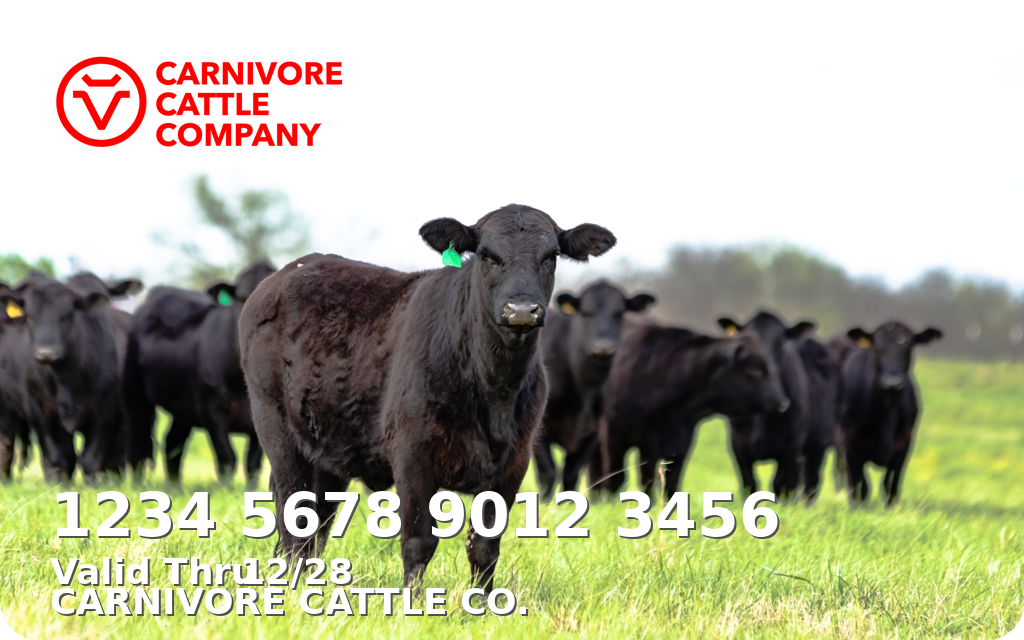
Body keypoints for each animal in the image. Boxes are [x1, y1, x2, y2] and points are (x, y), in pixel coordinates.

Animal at [123, 260, 275, 486]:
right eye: (242, 298)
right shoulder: (211, 411)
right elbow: (227, 458)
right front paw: (226, 489)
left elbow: (253, 463)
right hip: (135, 397)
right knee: (138, 445)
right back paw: (138, 485)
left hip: (183, 409)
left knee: (172, 443)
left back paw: (175, 486)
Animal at [238, 204, 616, 590]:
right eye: (486, 254)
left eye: (551, 255)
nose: (522, 310)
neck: (493, 388)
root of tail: (286, 273)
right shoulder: (412, 456)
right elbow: (419, 542)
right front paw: (415, 601)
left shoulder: (514, 463)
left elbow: (485, 549)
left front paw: (481, 601)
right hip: (276, 430)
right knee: (293, 523)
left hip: (328, 452)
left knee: (315, 527)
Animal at [535, 280, 655, 499]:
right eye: (586, 313)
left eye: (619, 314)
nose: (603, 348)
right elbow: (547, 473)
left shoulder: (594, 430)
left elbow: (571, 473)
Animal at [596, 319, 790, 501]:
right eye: (754, 368)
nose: (782, 402)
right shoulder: (615, 436)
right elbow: (616, 478)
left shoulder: (677, 445)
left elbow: (667, 483)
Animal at [830, 322, 942, 507]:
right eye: (877, 349)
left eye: (909, 348)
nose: (892, 383)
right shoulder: (849, 445)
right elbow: (860, 484)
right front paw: (856, 507)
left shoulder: (904, 445)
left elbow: (891, 486)